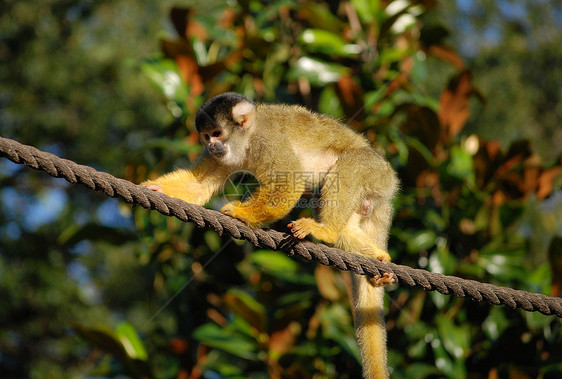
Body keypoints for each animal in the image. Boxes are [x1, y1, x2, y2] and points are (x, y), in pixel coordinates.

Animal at [144, 93, 398, 378]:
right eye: (206, 136)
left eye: (217, 133)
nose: (211, 145)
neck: (246, 140)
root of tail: (389, 183)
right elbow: (198, 186)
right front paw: (156, 189)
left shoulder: (267, 141)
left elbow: (291, 181)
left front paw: (240, 213)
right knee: (345, 224)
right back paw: (376, 258)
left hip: (373, 170)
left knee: (349, 169)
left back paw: (327, 230)